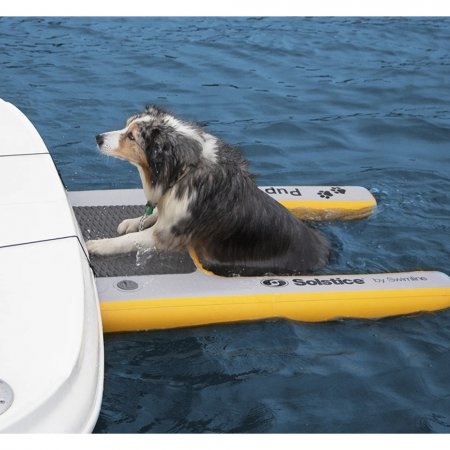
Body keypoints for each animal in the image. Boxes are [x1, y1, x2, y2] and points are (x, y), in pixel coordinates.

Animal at [86, 107, 328, 276]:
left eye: (131, 137)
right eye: (126, 126)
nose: (98, 138)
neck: (182, 171)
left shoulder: (166, 236)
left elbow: (129, 240)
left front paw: (99, 244)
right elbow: (152, 214)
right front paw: (133, 221)